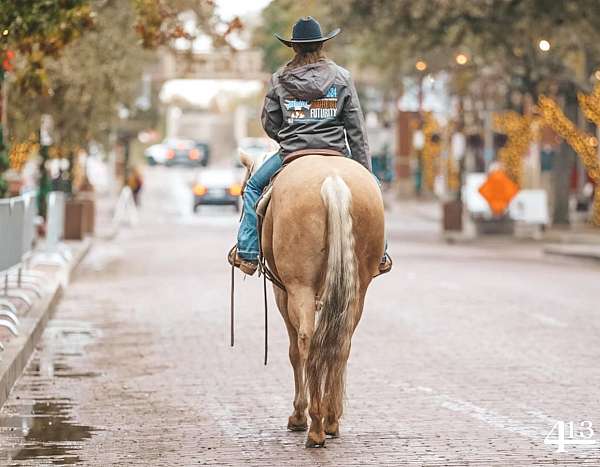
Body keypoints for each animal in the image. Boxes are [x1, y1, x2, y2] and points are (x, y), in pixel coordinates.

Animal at [239, 152, 384, 448]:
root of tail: (333, 182)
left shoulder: (282, 293)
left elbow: (294, 351)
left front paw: (297, 415)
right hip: (358, 288)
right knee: (341, 342)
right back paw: (330, 420)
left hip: (299, 287)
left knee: (306, 342)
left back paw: (314, 425)